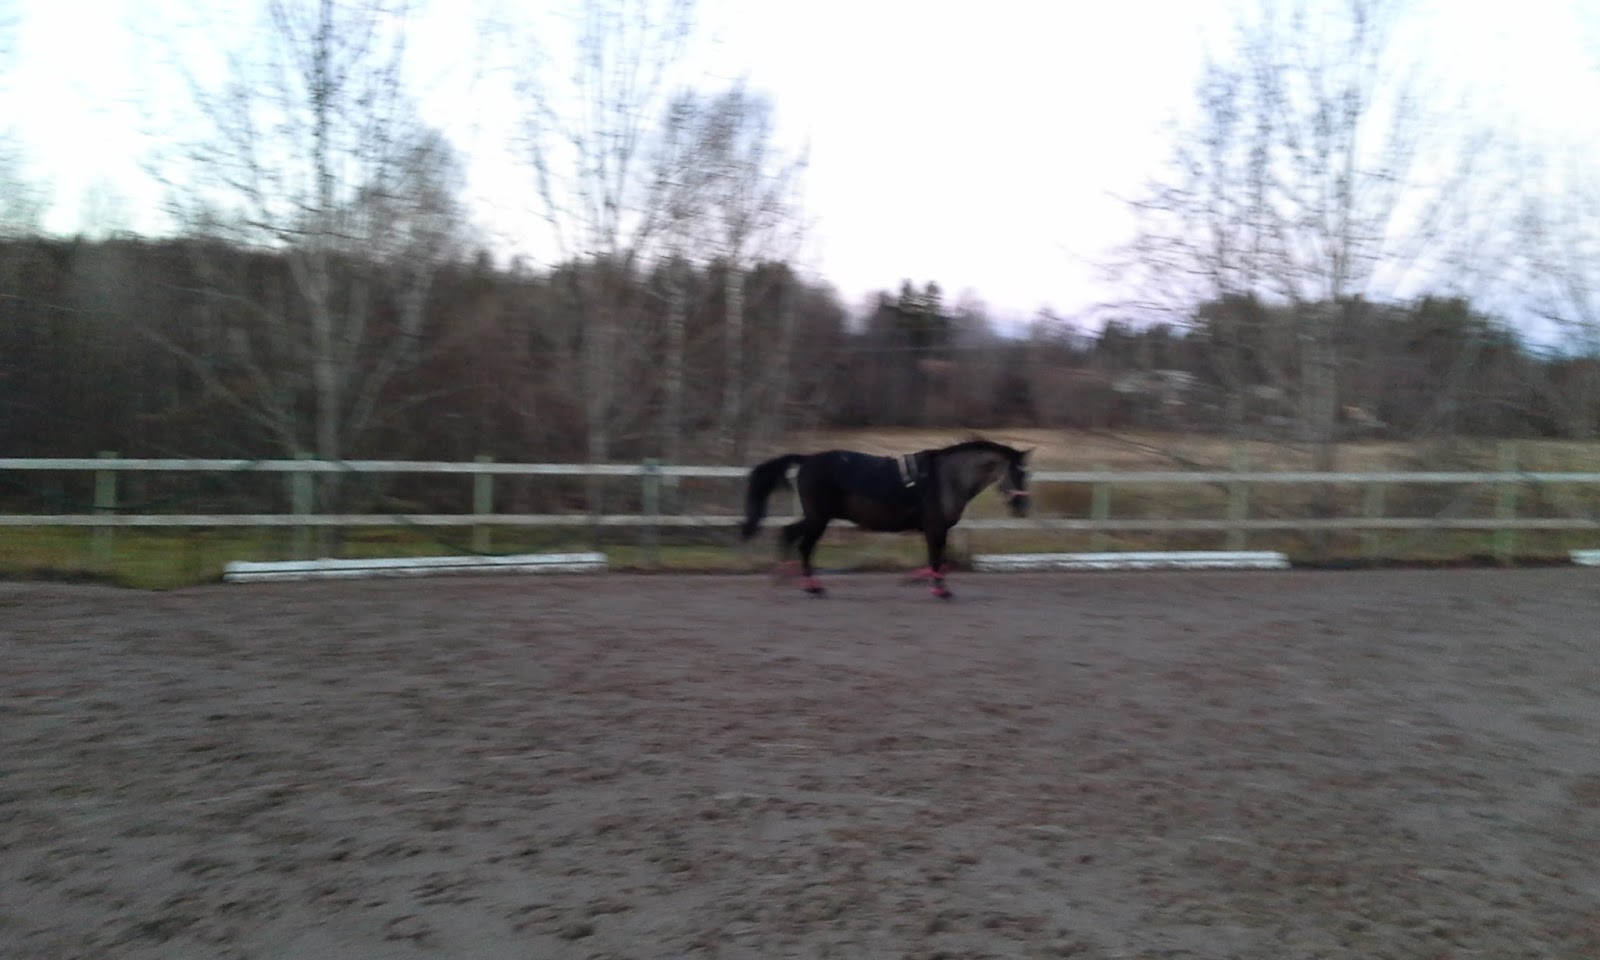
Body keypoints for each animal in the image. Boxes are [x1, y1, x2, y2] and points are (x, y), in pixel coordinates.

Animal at [739, 438, 1031, 599]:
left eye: (1026, 474)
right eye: (1015, 473)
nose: (1023, 507)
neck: (945, 478)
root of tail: (808, 459)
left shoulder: (938, 530)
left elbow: (941, 560)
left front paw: (920, 580)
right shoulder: (934, 528)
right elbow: (937, 560)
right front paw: (940, 590)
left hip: (817, 516)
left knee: (788, 533)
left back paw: (785, 577)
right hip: (819, 517)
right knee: (804, 545)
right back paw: (812, 587)